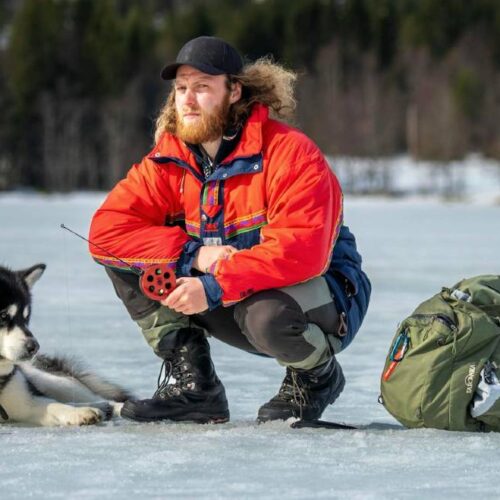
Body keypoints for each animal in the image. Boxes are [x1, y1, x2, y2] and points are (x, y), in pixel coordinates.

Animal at [0, 264, 133, 424]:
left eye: (25, 318)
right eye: (3, 315)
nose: (34, 347)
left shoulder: (28, 399)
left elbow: (54, 405)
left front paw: (79, 412)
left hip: (53, 381)